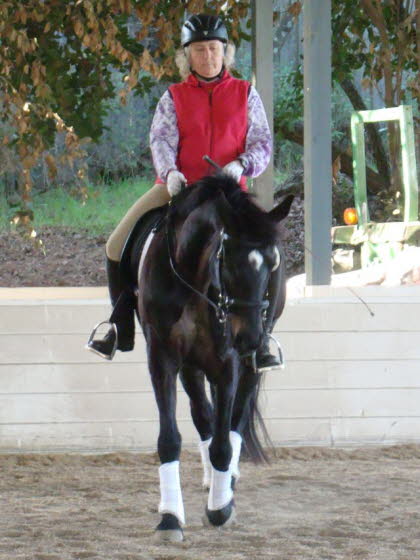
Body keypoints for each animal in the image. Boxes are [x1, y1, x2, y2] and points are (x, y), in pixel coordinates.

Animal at [133, 176, 294, 544]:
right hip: (192, 365)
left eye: (272, 262)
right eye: (228, 259)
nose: (249, 338)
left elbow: (224, 441)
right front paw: (170, 518)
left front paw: (220, 508)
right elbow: (170, 439)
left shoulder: (228, 362)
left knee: (234, 418)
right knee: (203, 415)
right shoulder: (162, 358)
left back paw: (226, 483)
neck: (194, 279)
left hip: (248, 363)